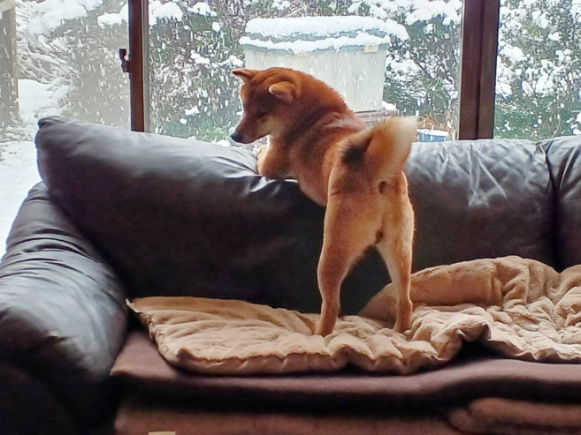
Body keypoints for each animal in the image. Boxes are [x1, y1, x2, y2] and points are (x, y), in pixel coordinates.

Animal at [231, 67, 416, 336]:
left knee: (332, 306)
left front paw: (257, 149)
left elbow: (262, 155)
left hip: (331, 255)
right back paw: (400, 331)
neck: (313, 115)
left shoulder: (271, 164)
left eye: (261, 113)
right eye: (244, 108)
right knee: (405, 300)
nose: (234, 136)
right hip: (399, 250)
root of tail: (374, 174)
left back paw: (319, 336)